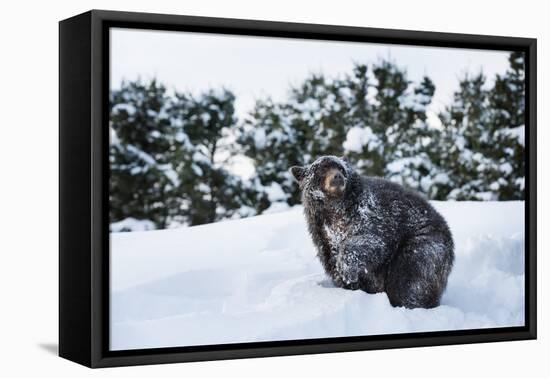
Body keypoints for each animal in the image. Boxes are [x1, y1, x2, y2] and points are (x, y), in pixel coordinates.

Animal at [292, 155, 454, 308]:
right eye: (322, 169)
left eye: (341, 168)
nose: (337, 176)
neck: (335, 208)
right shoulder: (321, 233)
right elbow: (333, 260)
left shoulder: (371, 215)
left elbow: (370, 242)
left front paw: (346, 268)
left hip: (422, 242)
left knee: (410, 278)